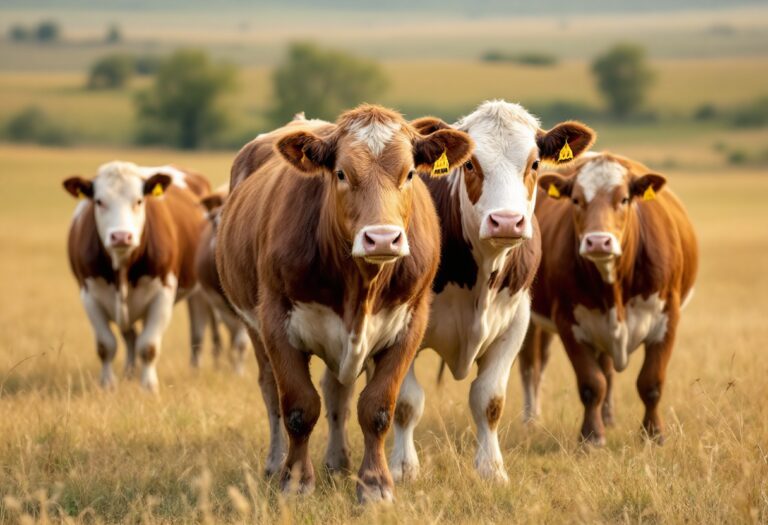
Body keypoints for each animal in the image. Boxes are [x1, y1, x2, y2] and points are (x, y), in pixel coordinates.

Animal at [63, 161, 213, 392]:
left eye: (139, 201)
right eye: (99, 201)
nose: (121, 236)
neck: (122, 267)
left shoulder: (163, 294)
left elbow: (149, 346)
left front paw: (149, 386)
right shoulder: (89, 295)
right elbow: (106, 345)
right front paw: (107, 384)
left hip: (198, 291)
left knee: (197, 331)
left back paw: (195, 370)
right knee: (130, 336)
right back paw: (129, 372)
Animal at [194, 189, 250, 374]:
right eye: (213, 221)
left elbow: (241, 341)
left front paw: (239, 372)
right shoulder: (219, 304)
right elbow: (234, 336)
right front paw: (235, 367)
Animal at [215, 104, 473, 502]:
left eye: (409, 173)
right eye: (341, 173)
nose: (381, 238)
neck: (360, 286)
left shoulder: (410, 324)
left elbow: (377, 409)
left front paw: (375, 485)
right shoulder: (276, 322)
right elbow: (298, 408)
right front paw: (295, 481)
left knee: (337, 392)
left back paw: (338, 462)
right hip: (253, 327)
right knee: (271, 394)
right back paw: (275, 464)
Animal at [389, 100, 597, 482]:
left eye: (534, 164)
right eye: (471, 164)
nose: (507, 222)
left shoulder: (515, 324)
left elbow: (489, 400)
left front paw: (491, 469)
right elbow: (406, 401)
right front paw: (403, 468)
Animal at [519, 152, 698, 446]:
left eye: (624, 199)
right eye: (576, 200)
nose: (598, 241)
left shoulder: (668, 317)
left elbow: (650, 382)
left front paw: (653, 434)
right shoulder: (568, 321)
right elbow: (592, 383)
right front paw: (592, 436)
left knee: (606, 368)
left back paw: (609, 417)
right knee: (532, 366)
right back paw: (531, 419)